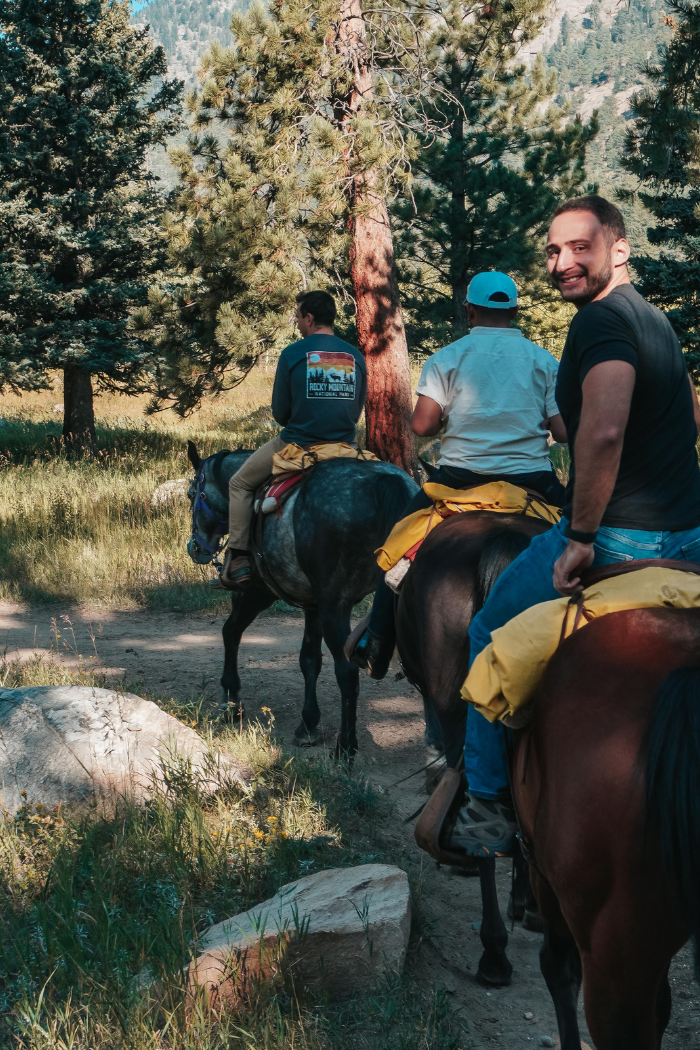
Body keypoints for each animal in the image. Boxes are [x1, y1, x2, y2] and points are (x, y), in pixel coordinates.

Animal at [184, 440, 415, 755]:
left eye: (191, 494)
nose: (195, 547)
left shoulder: (258, 591)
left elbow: (230, 632)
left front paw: (231, 700)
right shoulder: (313, 607)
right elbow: (309, 660)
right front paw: (308, 724)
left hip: (333, 609)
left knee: (347, 671)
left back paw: (346, 747)